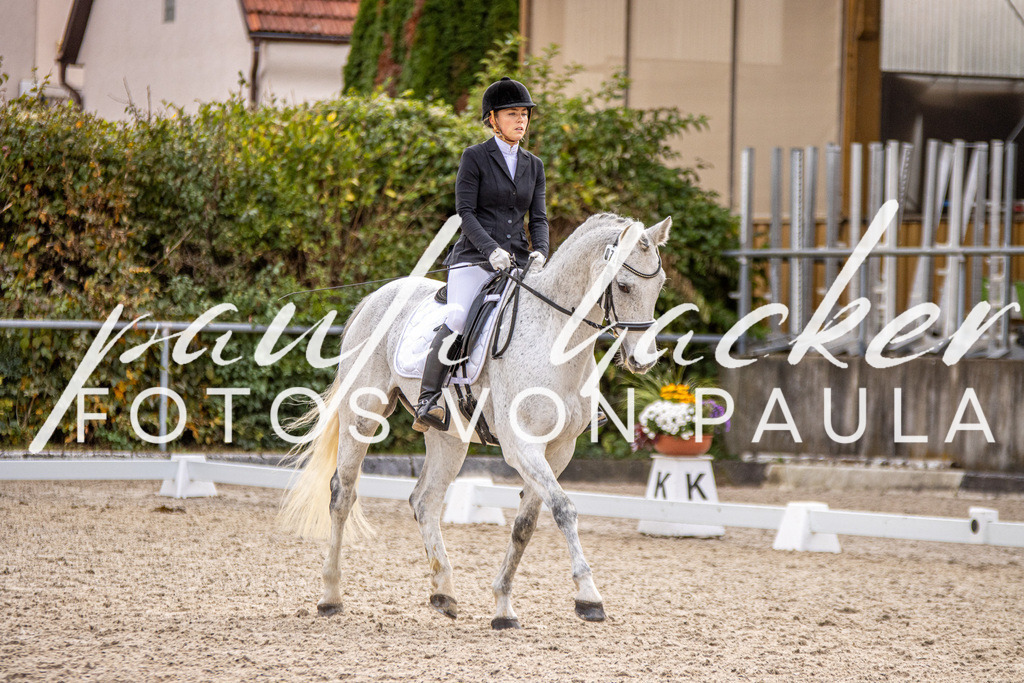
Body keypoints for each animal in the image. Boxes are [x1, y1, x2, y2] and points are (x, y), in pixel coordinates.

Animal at [280, 212, 672, 629]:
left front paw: (503, 607)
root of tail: (376, 297)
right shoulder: (522, 447)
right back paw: (330, 596)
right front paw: (588, 596)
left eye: (660, 284)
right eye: (624, 286)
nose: (644, 360)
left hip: (448, 436)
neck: (553, 339)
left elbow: (525, 525)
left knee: (425, 500)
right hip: (362, 414)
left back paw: (444, 593)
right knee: (343, 494)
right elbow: (564, 509)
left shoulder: (558, 450)